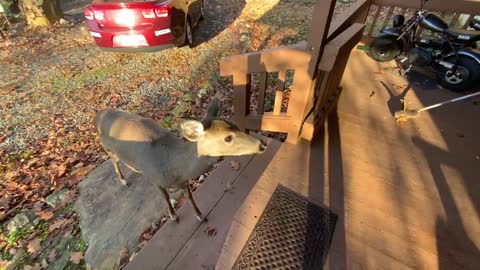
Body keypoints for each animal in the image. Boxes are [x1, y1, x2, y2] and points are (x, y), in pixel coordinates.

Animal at [94, 98, 266, 221]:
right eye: (228, 138)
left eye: (235, 125)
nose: (262, 144)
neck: (173, 165)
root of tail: (97, 115)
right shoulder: (155, 179)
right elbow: (165, 197)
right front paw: (173, 215)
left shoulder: (184, 182)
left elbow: (189, 196)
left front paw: (200, 215)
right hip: (108, 148)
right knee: (114, 161)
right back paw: (123, 181)